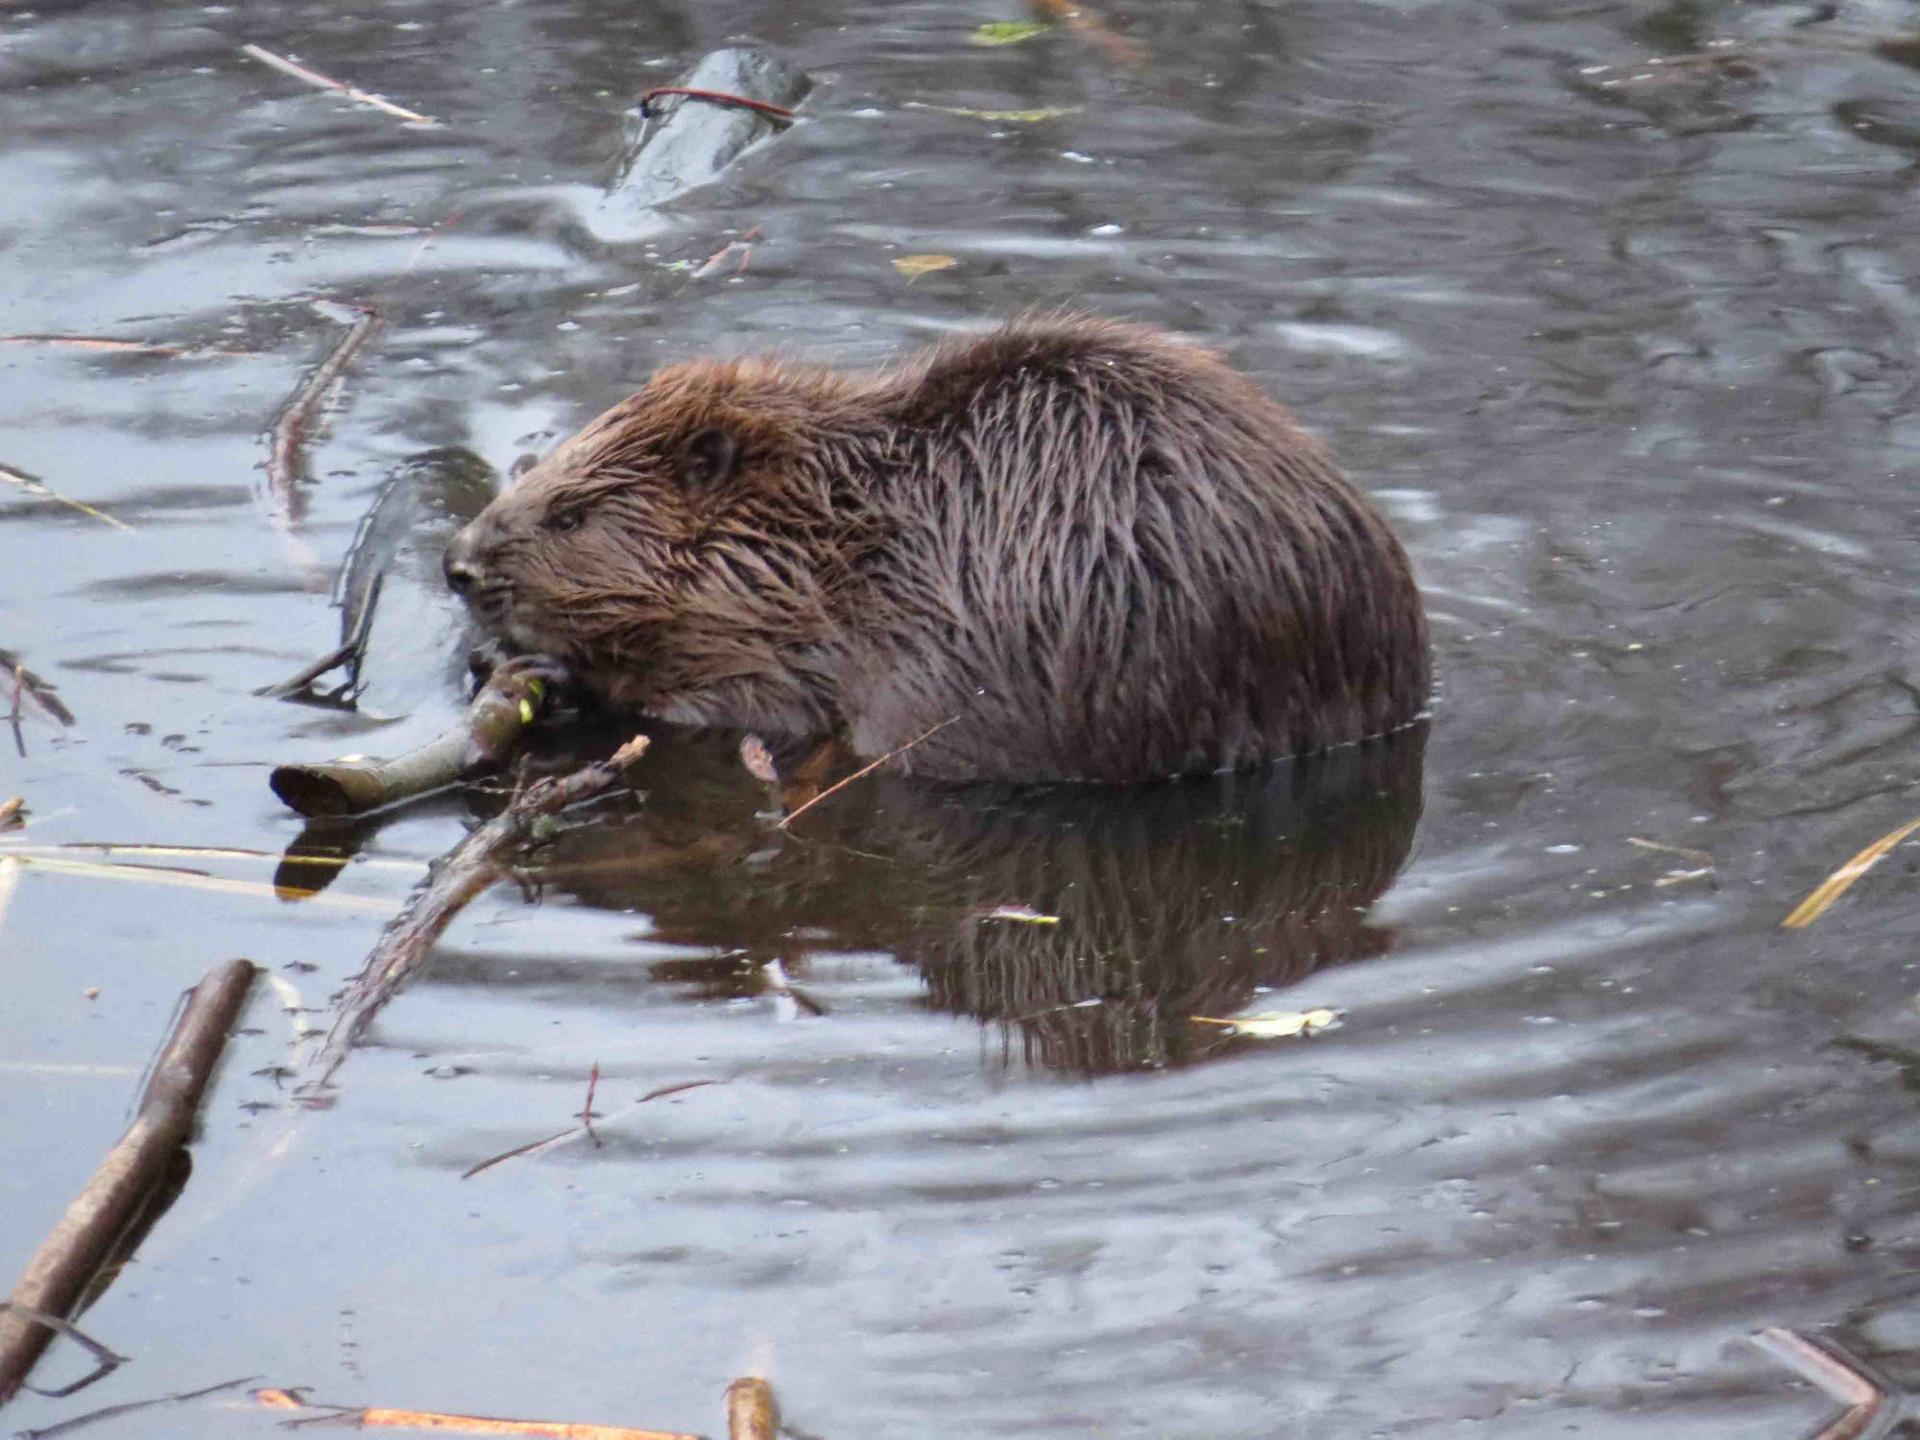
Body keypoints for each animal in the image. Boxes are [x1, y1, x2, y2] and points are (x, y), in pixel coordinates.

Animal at [439, 320, 1428, 783]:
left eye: (569, 516)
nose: (458, 564)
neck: (839, 526)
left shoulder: (805, 641)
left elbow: (742, 702)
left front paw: (543, 670)